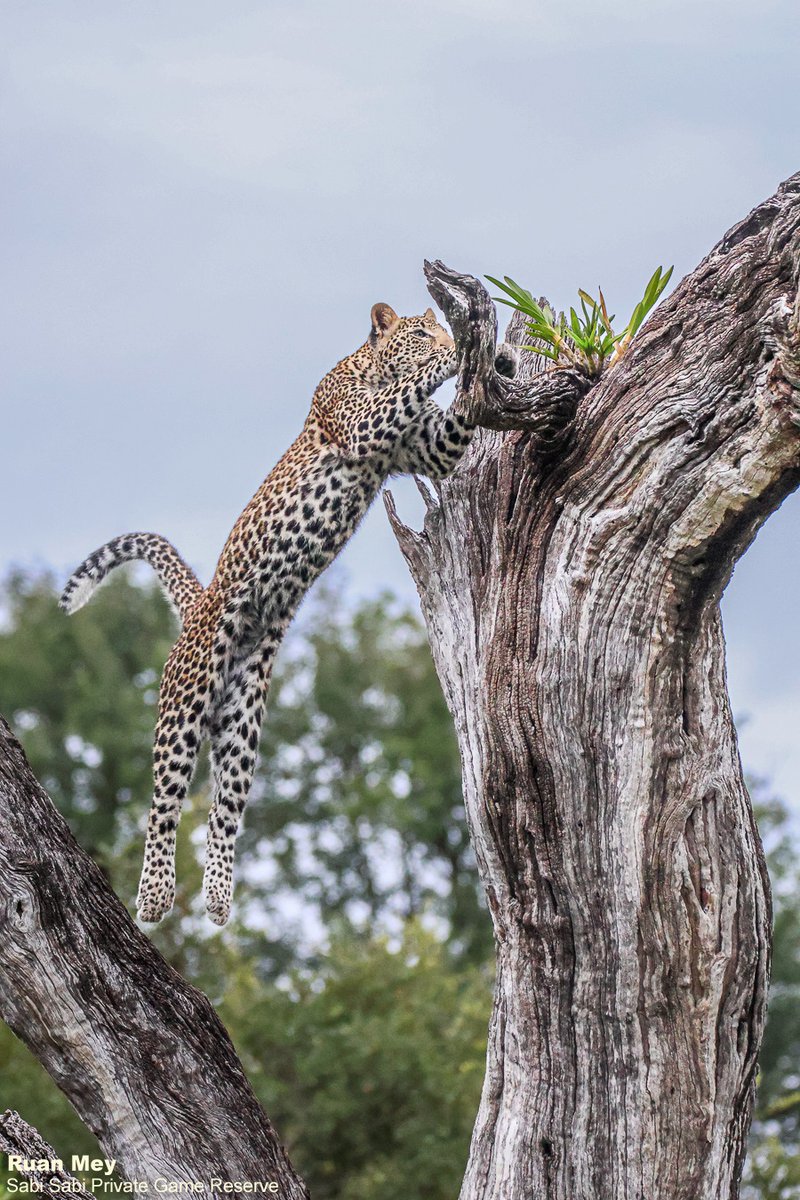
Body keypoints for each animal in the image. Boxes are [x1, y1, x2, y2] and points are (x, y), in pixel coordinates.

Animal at [61, 301, 512, 927]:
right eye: (422, 332)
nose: (447, 339)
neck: (369, 365)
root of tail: (200, 604)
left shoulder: (427, 445)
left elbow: (449, 426)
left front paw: (493, 357)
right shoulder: (364, 421)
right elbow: (411, 384)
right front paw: (465, 353)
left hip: (243, 718)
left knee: (224, 808)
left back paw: (218, 900)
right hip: (186, 697)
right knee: (164, 799)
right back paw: (152, 897)